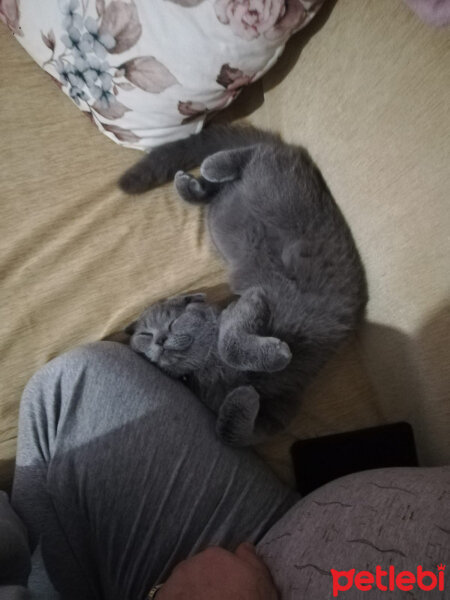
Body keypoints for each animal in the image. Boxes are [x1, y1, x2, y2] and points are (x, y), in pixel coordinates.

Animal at [121, 125, 368, 446]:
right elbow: (232, 435)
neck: (209, 369)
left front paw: (272, 361)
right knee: (219, 188)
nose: (161, 340)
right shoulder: (279, 412)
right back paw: (191, 184)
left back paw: (212, 166)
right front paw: (244, 396)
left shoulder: (254, 298)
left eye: (173, 323)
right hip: (224, 207)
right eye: (146, 335)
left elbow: (229, 345)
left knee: (256, 154)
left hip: (277, 188)